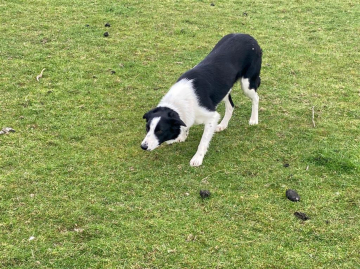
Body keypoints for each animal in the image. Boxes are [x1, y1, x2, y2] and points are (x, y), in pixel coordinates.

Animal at [141, 33, 262, 165]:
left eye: (160, 131)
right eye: (147, 128)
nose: (143, 146)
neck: (178, 103)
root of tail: (247, 36)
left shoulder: (212, 117)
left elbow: (203, 142)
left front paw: (197, 158)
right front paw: (182, 136)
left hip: (247, 84)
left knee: (256, 98)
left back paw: (254, 119)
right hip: (224, 88)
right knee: (231, 105)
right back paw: (223, 125)